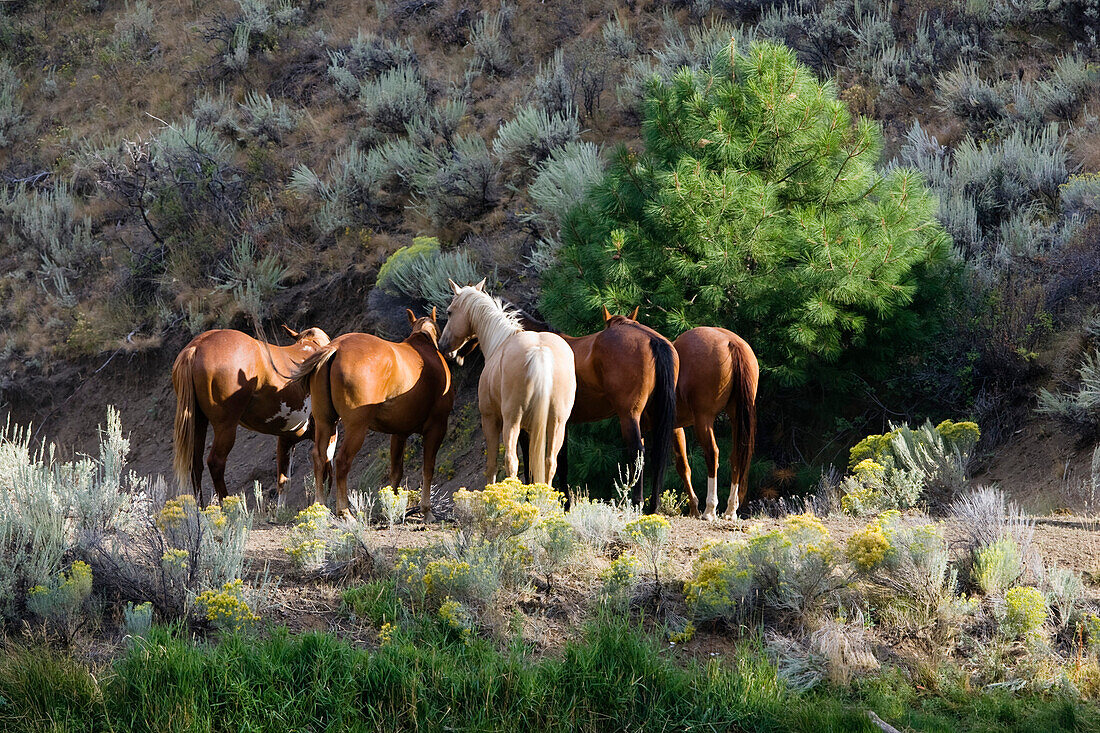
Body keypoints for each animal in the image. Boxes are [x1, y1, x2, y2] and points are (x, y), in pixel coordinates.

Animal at [169, 323, 332, 506]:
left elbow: (284, 482)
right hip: (225, 427)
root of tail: (196, 347)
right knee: (215, 463)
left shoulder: (286, 439)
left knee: (195, 465)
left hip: (198, 424)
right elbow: (328, 472)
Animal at [292, 308, 455, 519]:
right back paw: (344, 511)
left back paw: (321, 508)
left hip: (325, 422)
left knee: (320, 458)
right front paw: (426, 511)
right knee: (342, 461)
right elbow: (428, 469)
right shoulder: (436, 428)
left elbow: (396, 471)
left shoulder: (399, 433)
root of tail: (336, 347)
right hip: (356, 429)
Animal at [435, 279, 576, 490]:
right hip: (557, 424)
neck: (500, 341)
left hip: (512, 421)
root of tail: (540, 353)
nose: (443, 346)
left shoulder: (490, 419)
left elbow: (492, 465)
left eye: (450, 312)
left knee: (511, 461)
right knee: (551, 462)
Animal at [514, 305, 677, 510]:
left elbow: (533, 459)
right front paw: (565, 504)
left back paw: (637, 503)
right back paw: (653, 507)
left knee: (637, 452)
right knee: (656, 454)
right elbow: (561, 460)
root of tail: (653, 340)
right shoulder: (561, 423)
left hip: (629, 416)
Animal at [664, 325, 761, 519]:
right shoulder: (676, 427)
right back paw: (730, 510)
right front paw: (693, 509)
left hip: (704, 420)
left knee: (712, 454)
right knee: (736, 456)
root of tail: (733, 342)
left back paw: (710, 509)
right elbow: (683, 465)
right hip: (736, 418)